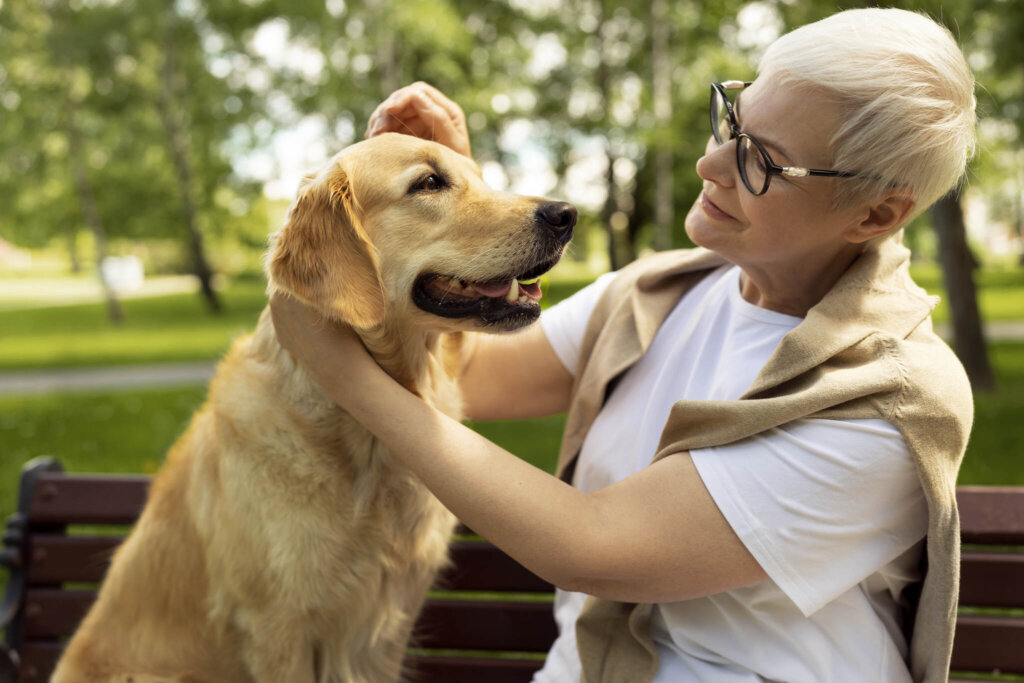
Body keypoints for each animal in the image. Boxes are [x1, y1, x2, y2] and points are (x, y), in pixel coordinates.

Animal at [54, 133, 577, 683]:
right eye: (429, 183)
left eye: (480, 178)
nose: (566, 214)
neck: (365, 444)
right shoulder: (276, 627)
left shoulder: (388, 622)